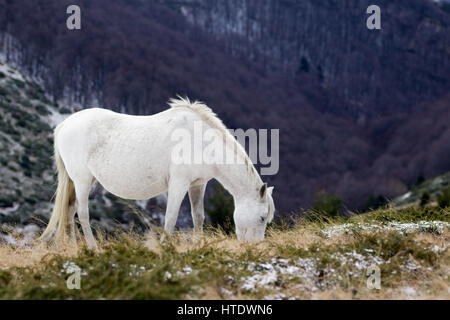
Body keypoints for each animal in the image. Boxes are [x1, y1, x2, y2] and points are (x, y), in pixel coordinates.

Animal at [39, 97, 274, 250]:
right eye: (262, 217)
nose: (255, 247)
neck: (200, 140)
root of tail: (64, 124)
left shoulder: (197, 184)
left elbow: (198, 217)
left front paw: (198, 246)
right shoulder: (179, 183)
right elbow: (170, 218)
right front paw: (164, 249)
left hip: (75, 181)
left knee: (69, 211)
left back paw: (72, 249)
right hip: (82, 180)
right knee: (82, 213)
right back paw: (93, 248)